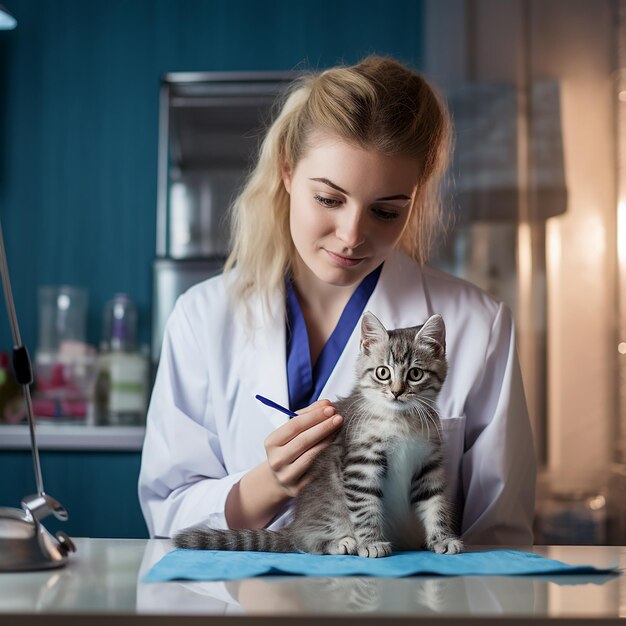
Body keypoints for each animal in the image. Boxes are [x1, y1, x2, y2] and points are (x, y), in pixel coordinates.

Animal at [173, 312, 460, 556]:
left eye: (415, 374)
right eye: (383, 372)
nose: (397, 392)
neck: (401, 420)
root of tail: (295, 524)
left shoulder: (429, 463)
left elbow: (435, 502)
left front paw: (442, 538)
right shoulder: (360, 463)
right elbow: (365, 507)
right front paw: (371, 543)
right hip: (328, 509)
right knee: (305, 541)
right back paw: (340, 542)